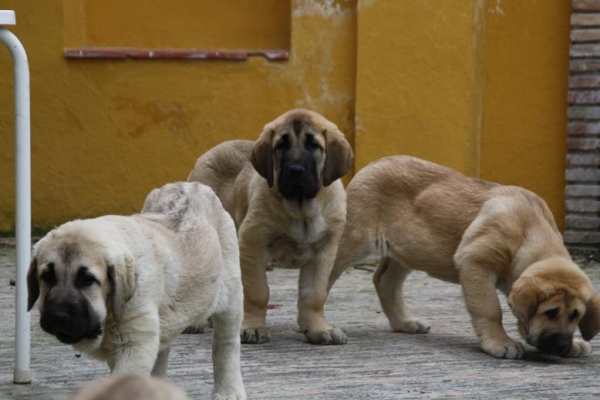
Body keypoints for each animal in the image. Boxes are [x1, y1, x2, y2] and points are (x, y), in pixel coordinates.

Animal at [25, 183, 246, 398]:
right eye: (47, 276)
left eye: (87, 280)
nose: (57, 316)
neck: (109, 313)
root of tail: (194, 185)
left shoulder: (135, 344)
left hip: (231, 299)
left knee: (226, 346)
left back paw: (228, 391)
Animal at [190, 108, 354, 344]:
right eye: (281, 146)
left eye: (313, 145)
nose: (295, 170)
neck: (301, 209)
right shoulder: (253, 245)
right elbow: (257, 292)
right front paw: (253, 327)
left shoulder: (324, 253)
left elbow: (314, 295)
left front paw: (318, 328)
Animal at [328, 156, 600, 360]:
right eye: (550, 312)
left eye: (575, 315)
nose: (562, 346)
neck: (528, 232)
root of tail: (374, 163)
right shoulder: (475, 262)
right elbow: (490, 309)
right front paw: (499, 342)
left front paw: (575, 343)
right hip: (353, 240)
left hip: (409, 250)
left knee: (385, 280)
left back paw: (404, 322)